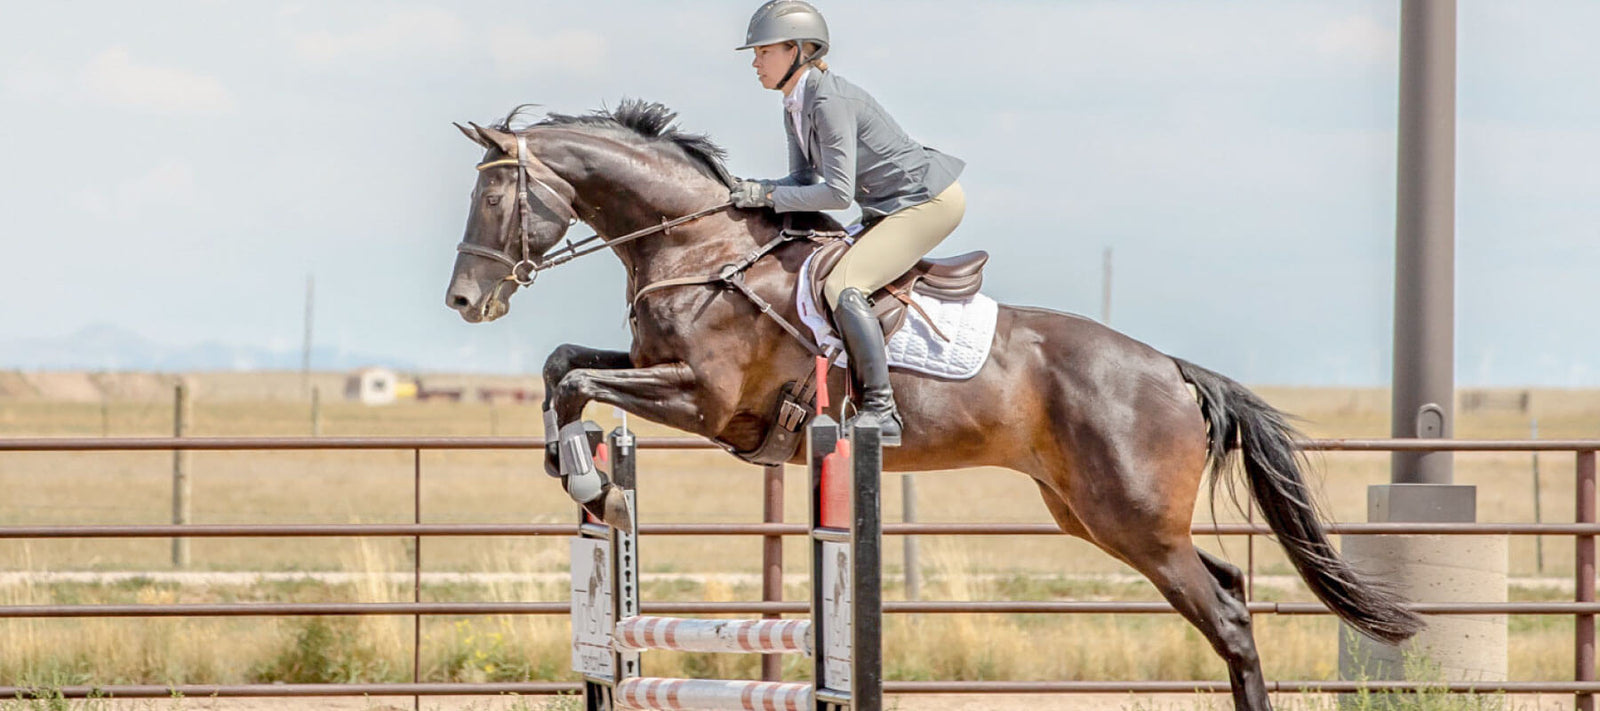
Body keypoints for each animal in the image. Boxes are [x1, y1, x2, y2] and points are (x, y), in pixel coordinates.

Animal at [442, 100, 1421, 711]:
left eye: (493, 194)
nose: (464, 302)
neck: (700, 248)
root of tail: (1173, 370)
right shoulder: (660, 374)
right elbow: (563, 365)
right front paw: (567, 461)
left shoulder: (707, 401)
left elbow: (577, 380)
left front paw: (579, 469)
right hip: (1092, 517)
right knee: (1226, 590)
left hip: (1133, 519)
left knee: (1226, 614)